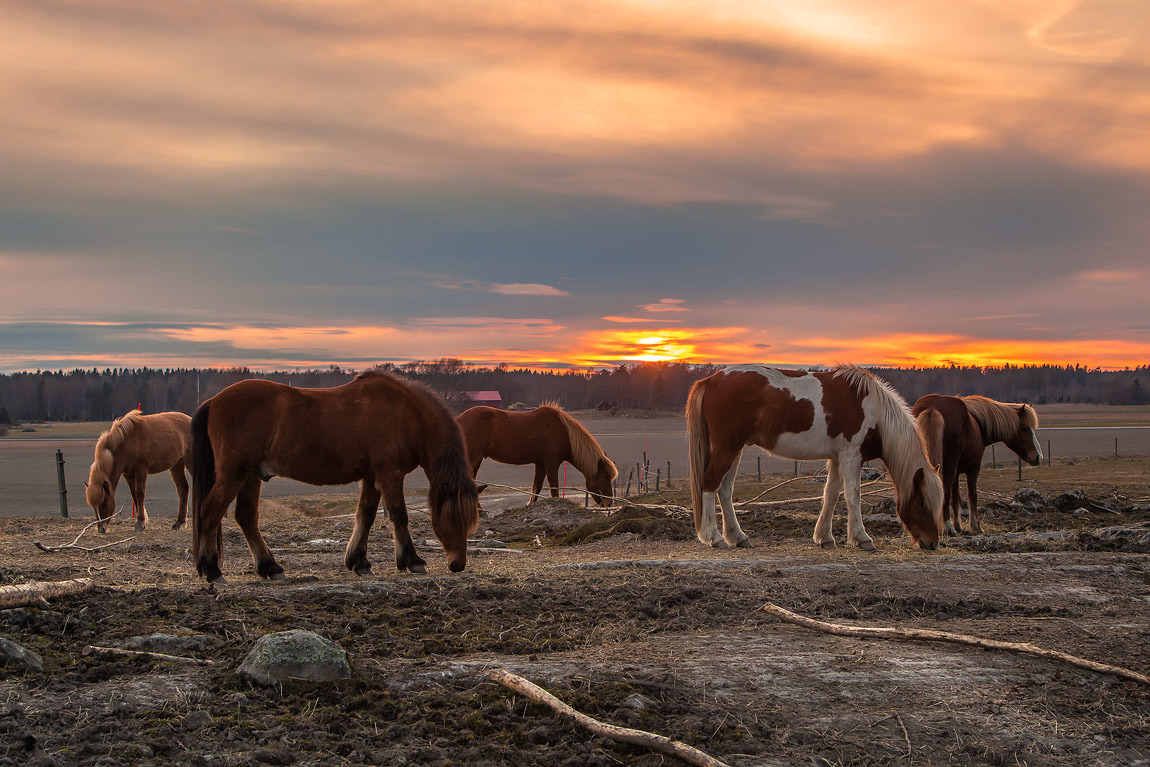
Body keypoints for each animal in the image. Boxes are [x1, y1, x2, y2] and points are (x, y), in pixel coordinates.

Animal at [190, 372, 478, 581]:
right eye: (450, 519)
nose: (458, 564)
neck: (406, 413)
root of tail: (214, 401)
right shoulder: (390, 474)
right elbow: (399, 515)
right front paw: (412, 560)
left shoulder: (372, 477)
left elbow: (366, 515)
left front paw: (359, 562)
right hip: (233, 475)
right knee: (210, 513)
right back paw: (212, 569)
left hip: (250, 476)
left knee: (246, 517)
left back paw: (270, 568)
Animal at [457, 404, 621, 505]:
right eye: (604, 478)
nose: (609, 503)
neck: (564, 432)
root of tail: (458, 419)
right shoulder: (551, 463)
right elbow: (554, 488)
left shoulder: (541, 464)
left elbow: (537, 487)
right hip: (473, 458)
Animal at [680, 365, 943, 551]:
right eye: (921, 502)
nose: (932, 543)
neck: (872, 409)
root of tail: (711, 381)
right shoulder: (851, 456)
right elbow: (853, 495)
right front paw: (861, 538)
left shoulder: (837, 458)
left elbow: (831, 494)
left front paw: (824, 537)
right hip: (727, 447)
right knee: (710, 485)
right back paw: (714, 537)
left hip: (734, 448)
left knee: (724, 490)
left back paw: (738, 537)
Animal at [915, 393, 1044, 538]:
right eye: (1023, 428)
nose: (1038, 456)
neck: (977, 422)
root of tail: (932, 409)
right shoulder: (973, 468)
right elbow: (972, 495)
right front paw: (976, 526)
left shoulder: (956, 473)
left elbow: (956, 498)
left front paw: (958, 525)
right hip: (948, 468)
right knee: (945, 493)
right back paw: (949, 528)